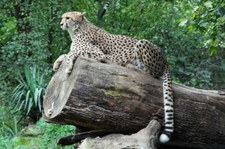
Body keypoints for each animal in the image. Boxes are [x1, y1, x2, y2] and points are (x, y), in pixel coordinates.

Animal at [54, 11, 174, 143]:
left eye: (68, 18)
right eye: (62, 17)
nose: (60, 24)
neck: (78, 28)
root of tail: (166, 60)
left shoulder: (99, 54)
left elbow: (72, 53)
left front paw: (68, 66)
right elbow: (66, 53)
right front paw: (57, 63)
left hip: (142, 43)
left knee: (153, 74)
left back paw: (131, 66)